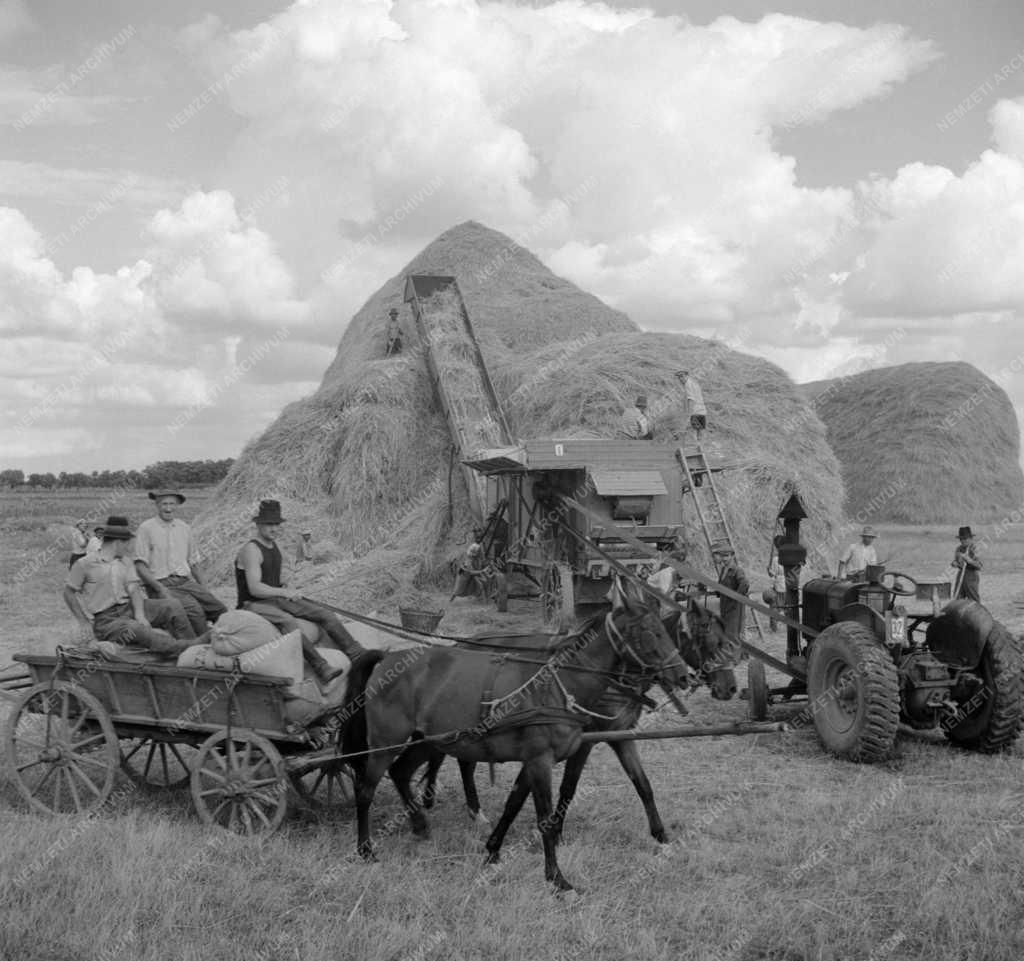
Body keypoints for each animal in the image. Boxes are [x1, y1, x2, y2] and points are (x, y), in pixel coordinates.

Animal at [344, 586, 688, 893]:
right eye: (651, 631)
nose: (684, 675)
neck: (558, 686)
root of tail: (387, 659)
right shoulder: (541, 759)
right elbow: (546, 816)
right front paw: (557, 878)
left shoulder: (540, 759)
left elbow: (515, 803)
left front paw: (493, 849)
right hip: (384, 744)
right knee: (365, 790)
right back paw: (366, 849)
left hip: (426, 740)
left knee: (401, 772)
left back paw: (420, 825)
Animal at [419, 590, 741, 848]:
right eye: (711, 641)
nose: (730, 688)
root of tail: (460, 645)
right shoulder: (585, 740)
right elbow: (568, 787)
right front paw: (557, 833)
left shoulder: (621, 735)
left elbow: (643, 784)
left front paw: (660, 835)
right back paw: (461, 808)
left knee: (461, 760)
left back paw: (466, 809)